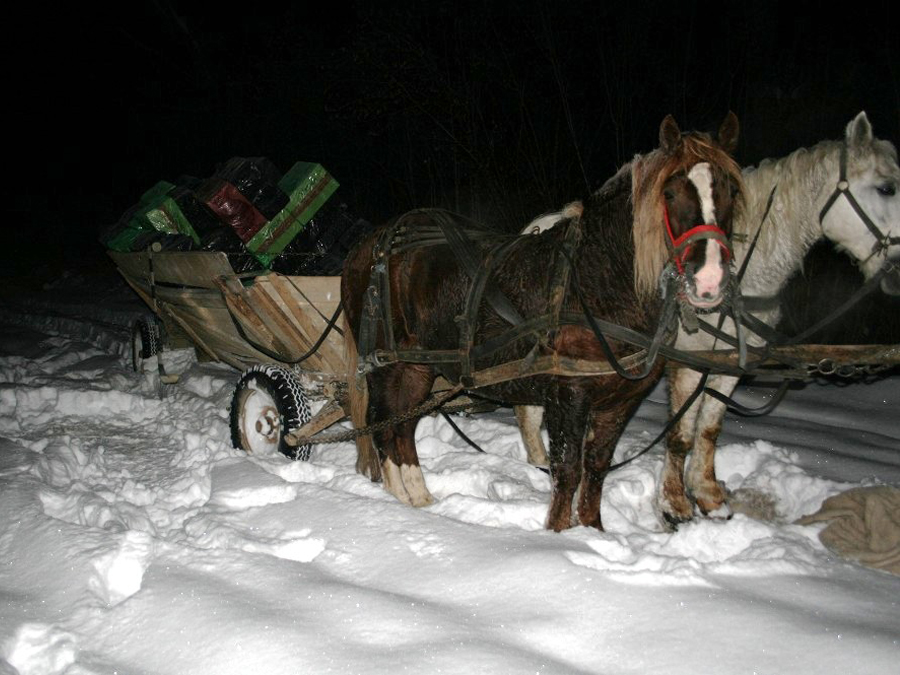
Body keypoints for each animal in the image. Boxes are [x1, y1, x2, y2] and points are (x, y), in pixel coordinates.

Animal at [342, 112, 740, 532]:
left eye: (731, 190)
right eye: (670, 193)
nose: (709, 279)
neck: (597, 277)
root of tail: (370, 244)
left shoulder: (621, 400)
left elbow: (596, 467)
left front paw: (593, 531)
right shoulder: (568, 394)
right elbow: (566, 470)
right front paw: (559, 533)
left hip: (417, 367)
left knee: (402, 426)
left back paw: (419, 499)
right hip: (386, 364)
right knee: (382, 423)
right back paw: (400, 500)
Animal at [512, 112, 900, 528]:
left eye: (732, 193)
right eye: (887, 188)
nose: (897, 266)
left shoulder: (727, 365)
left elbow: (709, 429)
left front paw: (709, 497)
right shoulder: (687, 363)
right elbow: (681, 434)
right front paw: (675, 505)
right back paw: (536, 466)